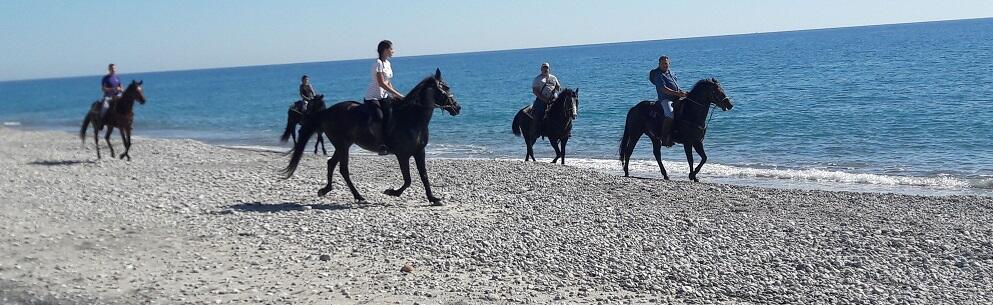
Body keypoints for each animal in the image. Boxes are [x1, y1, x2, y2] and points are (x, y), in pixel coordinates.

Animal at [282, 69, 462, 204]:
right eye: (445, 88)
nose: (457, 107)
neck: (411, 118)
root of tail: (326, 112)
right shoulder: (403, 154)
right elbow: (408, 179)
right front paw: (392, 192)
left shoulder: (420, 152)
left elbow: (424, 176)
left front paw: (433, 198)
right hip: (342, 145)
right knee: (343, 169)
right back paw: (358, 196)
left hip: (343, 145)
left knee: (331, 163)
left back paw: (326, 190)